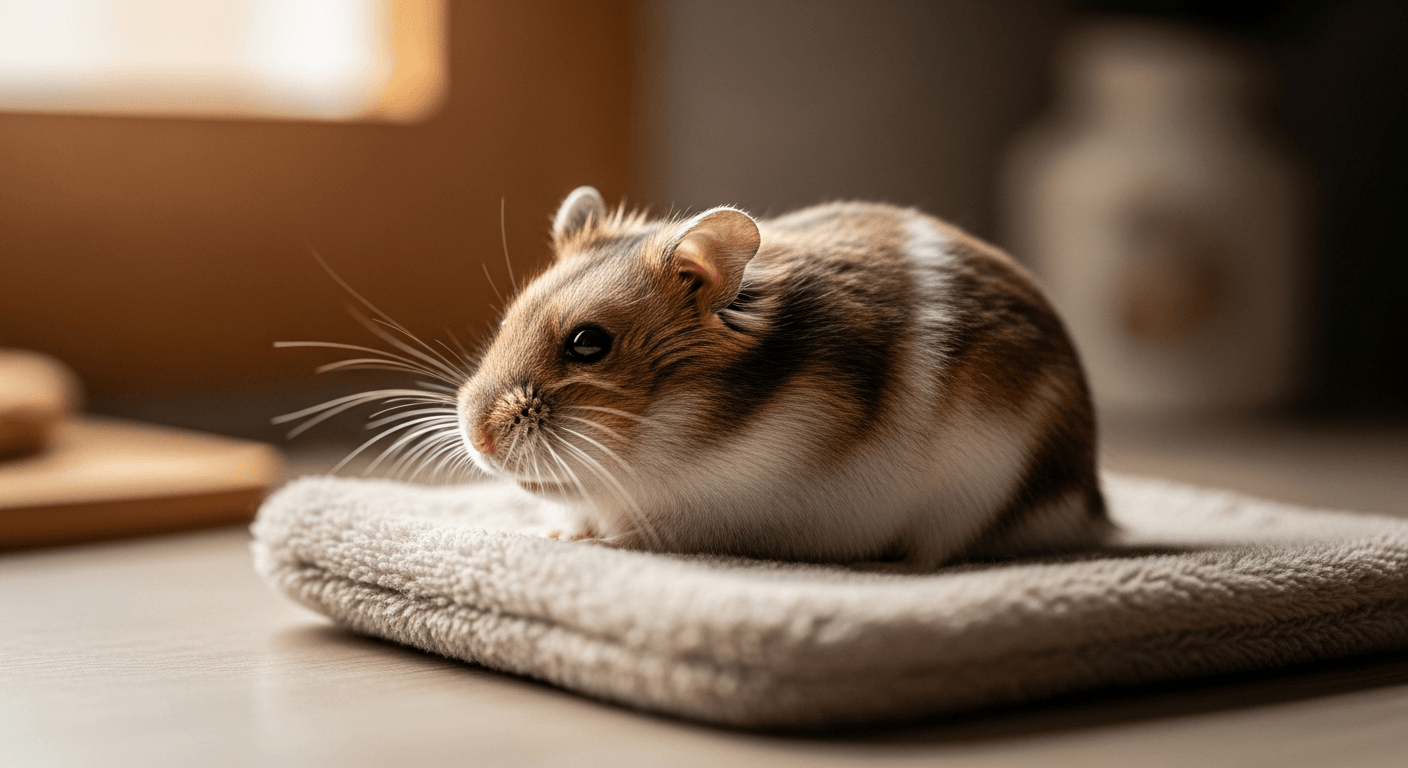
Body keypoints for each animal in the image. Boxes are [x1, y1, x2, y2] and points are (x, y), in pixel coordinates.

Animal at [457, 186, 1109, 567]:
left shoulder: (725, 514)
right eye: (509, 319)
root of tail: (1093, 503)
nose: (477, 438)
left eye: (588, 344)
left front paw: (584, 542)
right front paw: (558, 535)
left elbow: (642, 536)